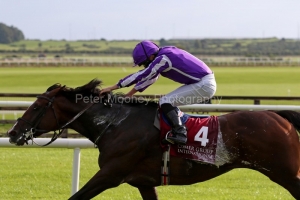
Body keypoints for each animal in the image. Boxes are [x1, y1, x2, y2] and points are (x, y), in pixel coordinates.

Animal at [7, 79, 300, 199]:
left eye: (36, 106)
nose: (12, 133)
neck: (116, 125)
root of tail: (279, 116)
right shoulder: (144, 183)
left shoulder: (109, 175)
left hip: (285, 172)